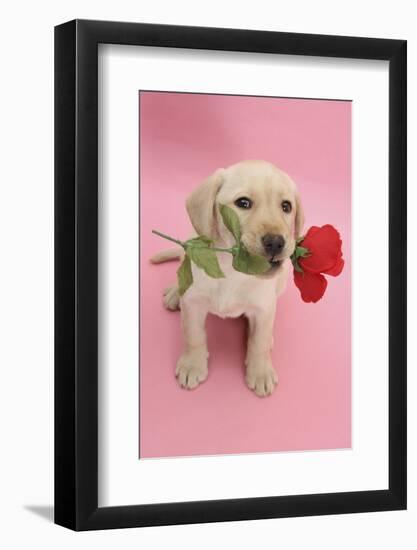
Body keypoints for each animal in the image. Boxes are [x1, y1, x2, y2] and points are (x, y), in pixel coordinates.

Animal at [151, 160, 304, 396]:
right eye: (243, 203)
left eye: (286, 207)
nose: (276, 242)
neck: (233, 271)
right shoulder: (193, 304)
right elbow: (193, 335)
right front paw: (192, 364)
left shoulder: (263, 308)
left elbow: (258, 341)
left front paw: (260, 372)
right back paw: (175, 293)